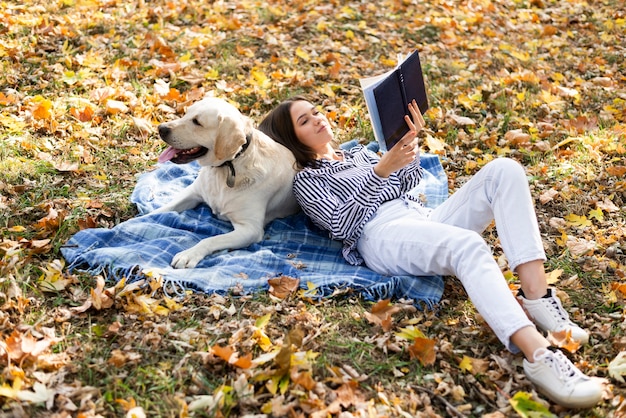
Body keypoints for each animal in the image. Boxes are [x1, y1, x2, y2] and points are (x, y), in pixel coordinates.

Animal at [151, 96, 298, 270]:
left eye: (197, 122)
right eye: (186, 113)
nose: (161, 128)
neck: (228, 166)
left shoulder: (250, 229)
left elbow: (210, 239)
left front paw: (188, 254)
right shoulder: (193, 192)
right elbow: (162, 210)